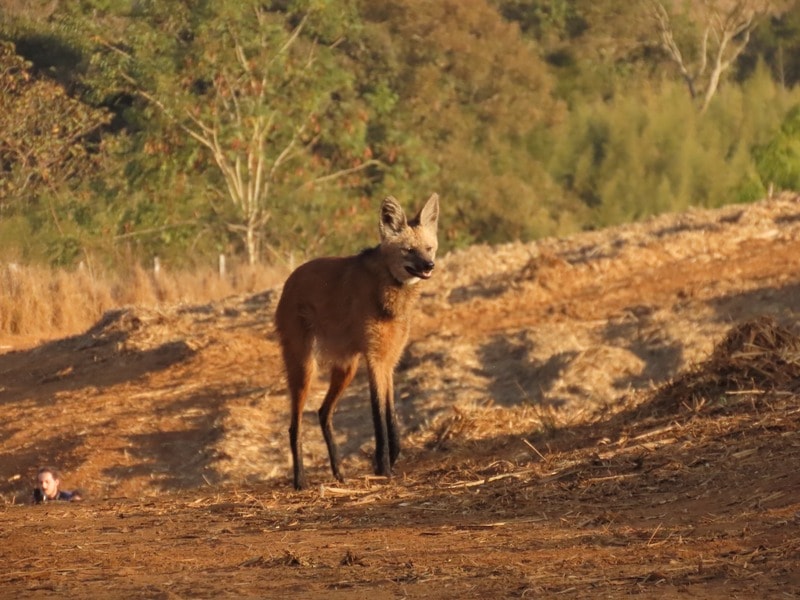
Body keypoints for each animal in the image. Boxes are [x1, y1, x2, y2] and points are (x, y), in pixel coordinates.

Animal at [275, 193, 440, 490]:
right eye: (409, 251)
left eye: (428, 249)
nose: (429, 265)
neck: (390, 294)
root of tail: (290, 279)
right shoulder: (374, 359)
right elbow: (378, 417)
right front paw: (383, 467)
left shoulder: (388, 361)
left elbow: (392, 417)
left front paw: (390, 459)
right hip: (305, 366)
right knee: (295, 424)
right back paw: (300, 481)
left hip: (346, 368)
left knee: (323, 412)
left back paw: (339, 472)